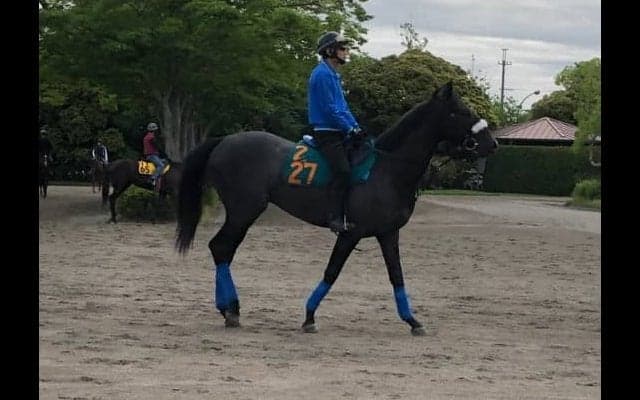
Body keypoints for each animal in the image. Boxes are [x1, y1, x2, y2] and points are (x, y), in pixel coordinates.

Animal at [175, 82, 498, 335]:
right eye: (461, 111)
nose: (492, 143)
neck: (386, 169)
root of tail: (224, 141)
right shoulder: (350, 233)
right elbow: (332, 271)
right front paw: (309, 317)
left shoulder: (388, 233)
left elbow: (396, 275)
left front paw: (412, 320)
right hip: (244, 210)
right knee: (221, 247)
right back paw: (230, 309)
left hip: (243, 212)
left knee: (224, 250)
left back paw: (229, 309)